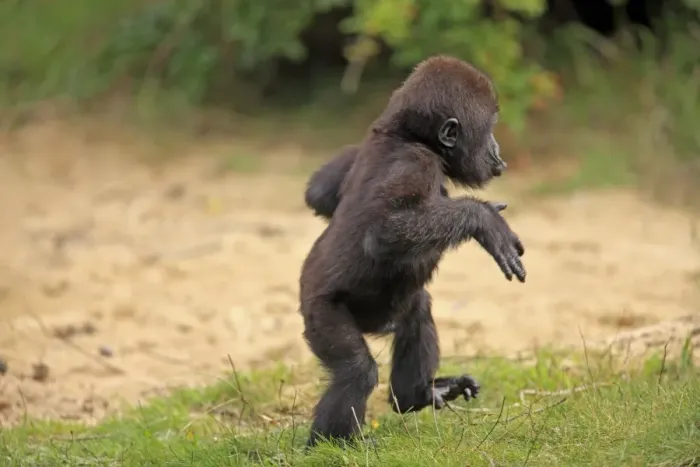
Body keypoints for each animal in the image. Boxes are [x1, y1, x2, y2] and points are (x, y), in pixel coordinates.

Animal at [299, 55, 526, 448]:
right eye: (489, 130)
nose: (498, 151)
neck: (406, 135)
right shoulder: (415, 163)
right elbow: (385, 231)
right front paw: (483, 219)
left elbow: (320, 193)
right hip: (319, 311)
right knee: (356, 370)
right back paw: (334, 443)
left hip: (381, 313)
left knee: (417, 308)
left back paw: (415, 394)